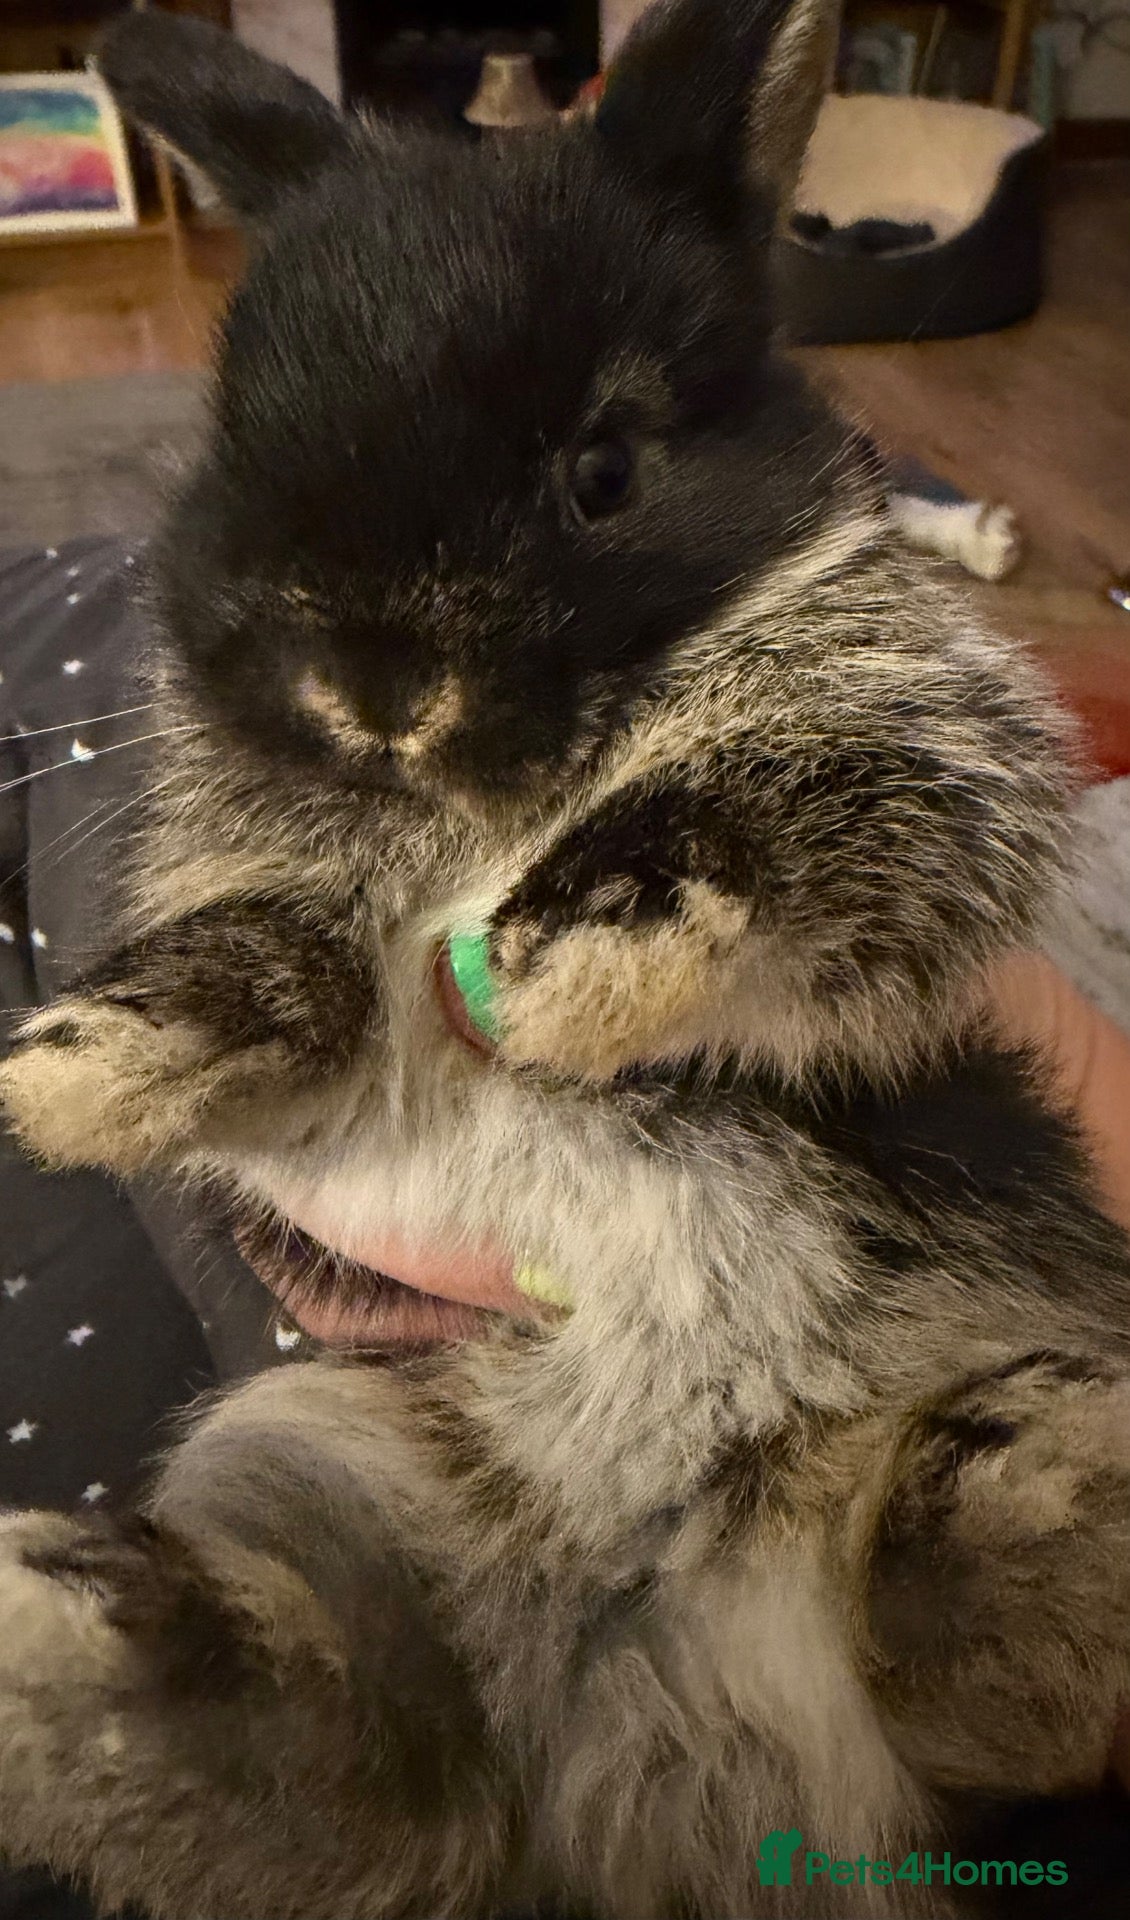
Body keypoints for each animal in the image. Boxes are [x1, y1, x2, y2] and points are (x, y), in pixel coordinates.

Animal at [2, 3, 1130, 1916]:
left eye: (602, 475)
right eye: (233, 445)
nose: (375, 698)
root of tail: (681, 1729)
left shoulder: (906, 754)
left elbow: (764, 808)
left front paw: (562, 961)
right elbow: (280, 966)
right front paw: (76, 1068)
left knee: (961, 1669)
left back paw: (1041, 1474)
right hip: (364, 1470)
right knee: (373, 1782)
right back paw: (51, 1627)